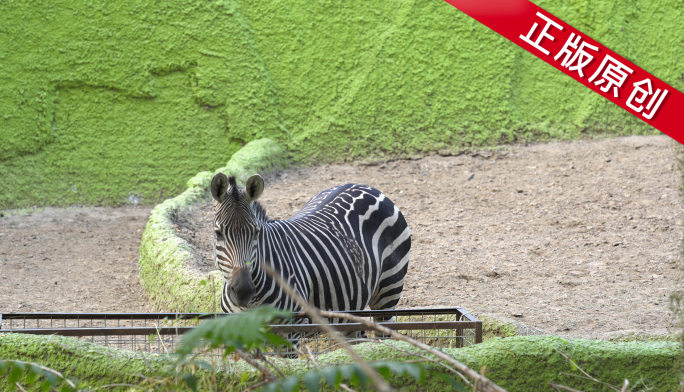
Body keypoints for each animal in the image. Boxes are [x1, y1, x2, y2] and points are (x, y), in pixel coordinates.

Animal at [210, 173, 412, 330]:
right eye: (218, 233)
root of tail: (365, 186)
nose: (243, 291)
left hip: (388, 291)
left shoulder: (291, 332)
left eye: (255, 233)